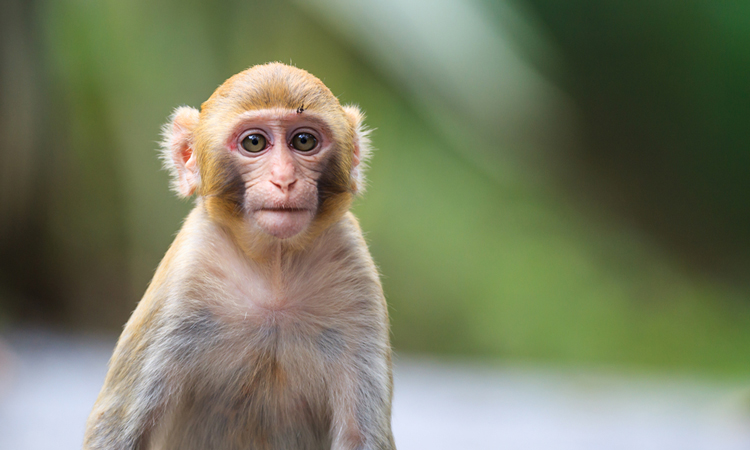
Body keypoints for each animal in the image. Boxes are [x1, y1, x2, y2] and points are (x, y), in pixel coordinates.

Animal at [84, 63, 396, 450]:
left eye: (304, 141)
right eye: (254, 143)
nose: (284, 180)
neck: (275, 267)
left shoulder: (354, 269)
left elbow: (361, 435)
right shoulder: (185, 273)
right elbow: (119, 425)